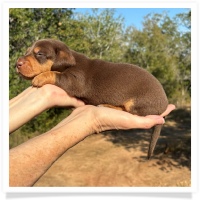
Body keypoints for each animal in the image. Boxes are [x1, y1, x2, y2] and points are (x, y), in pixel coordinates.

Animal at [16, 38, 168, 159]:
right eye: (27, 51)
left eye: (40, 54)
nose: (17, 63)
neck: (70, 62)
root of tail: (163, 106)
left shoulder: (75, 80)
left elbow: (55, 74)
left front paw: (40, 77)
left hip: (136, 102)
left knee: (129, 111)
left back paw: (108, 105)